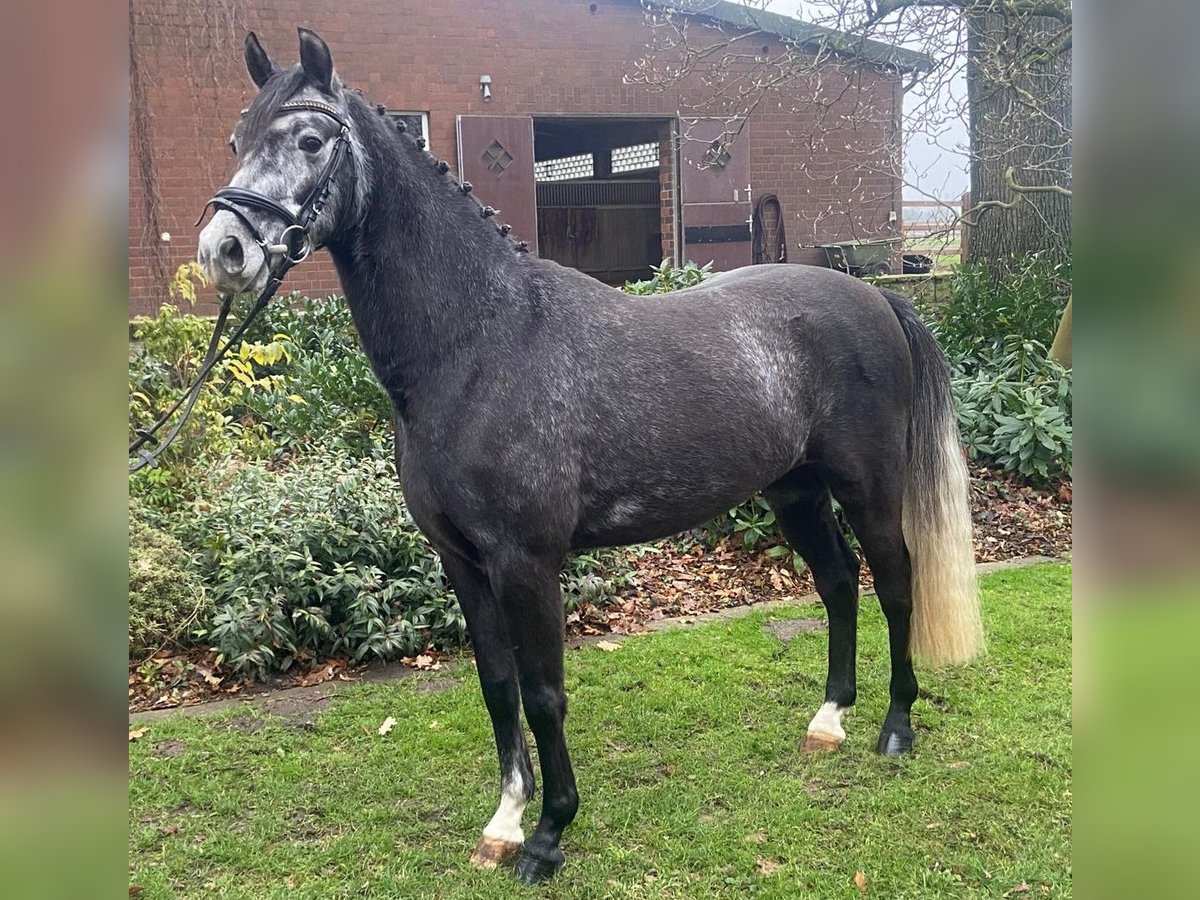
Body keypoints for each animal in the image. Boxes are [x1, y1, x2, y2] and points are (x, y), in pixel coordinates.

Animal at [196, 28, 984, 885]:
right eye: (234, 140)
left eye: (310, 140)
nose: (223, 250)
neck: (480, 343)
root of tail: (876, 295)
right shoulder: (460, 561)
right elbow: (497, 686)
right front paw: (504, 822)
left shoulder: (525, 560)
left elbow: (544, 693)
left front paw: (548, 836)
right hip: (795, 492)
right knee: (838, 584)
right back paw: (829, 719)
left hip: (868, 489)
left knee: (896, 584)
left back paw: (895, 726)